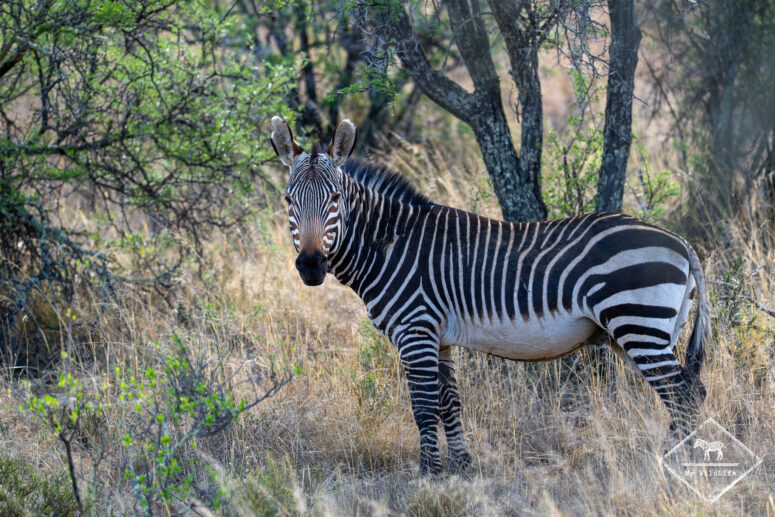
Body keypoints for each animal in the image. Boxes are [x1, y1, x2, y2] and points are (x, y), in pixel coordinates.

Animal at [270, 116, 709, 474]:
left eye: (335, 200)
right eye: (289, 201)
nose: (311, 265)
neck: (391, 244)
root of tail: (679, 242)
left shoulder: (415, 330)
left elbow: (424, 406)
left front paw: (428, 474)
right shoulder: (439, 337)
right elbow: (449, 402)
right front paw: (462, 466)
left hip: (638, 322)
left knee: (682, 394)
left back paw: (678, 468)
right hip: (651, 330)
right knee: (689, 390)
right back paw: (675, 459)